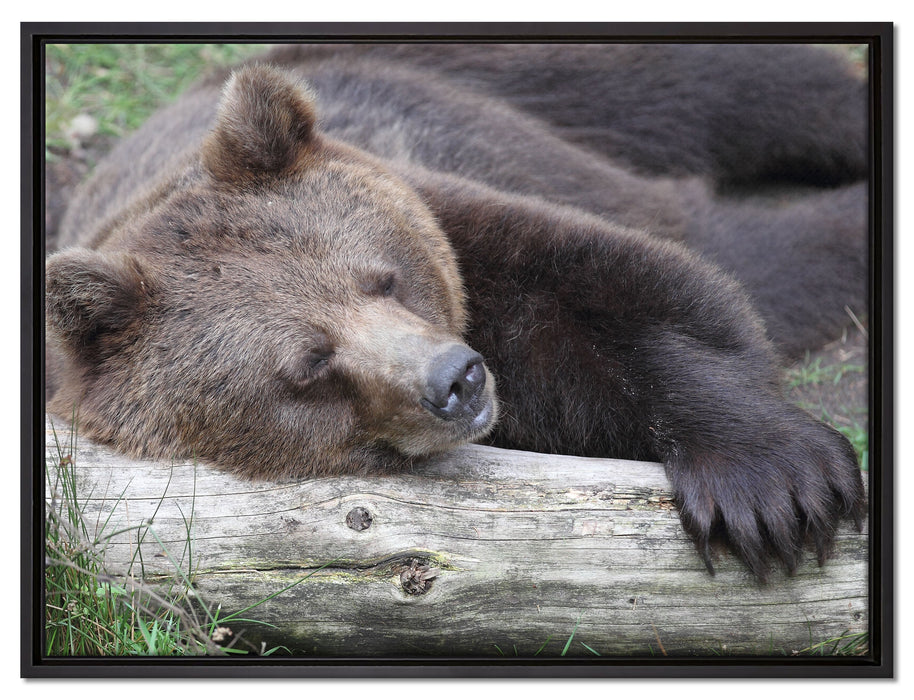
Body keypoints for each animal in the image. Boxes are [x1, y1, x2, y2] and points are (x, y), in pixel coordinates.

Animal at [45, 43, 868, 582]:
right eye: (310, 366)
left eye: (382, 278)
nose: (456, 379)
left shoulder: (459, 214)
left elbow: (638, 295)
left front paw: (768, 483)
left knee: (738, 91)